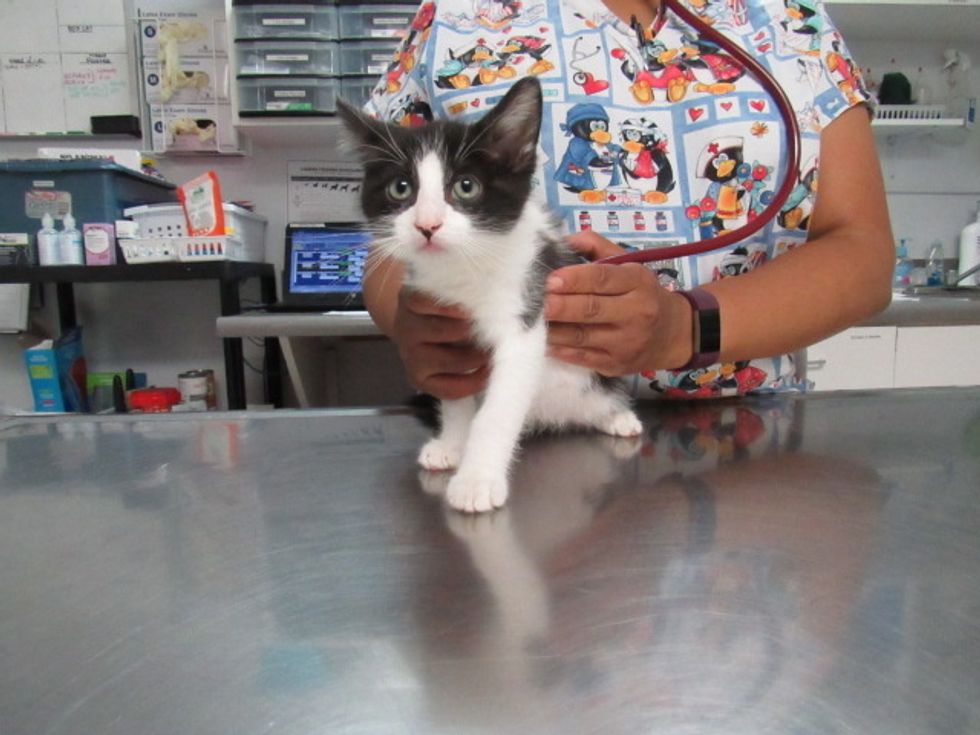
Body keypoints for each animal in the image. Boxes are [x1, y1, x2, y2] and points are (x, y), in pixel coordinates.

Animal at [338, 76, 642, 513]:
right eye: (401, 188)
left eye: (466, 187)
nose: (427, 225)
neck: (466, 270)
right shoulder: (442, 328)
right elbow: (455, 392)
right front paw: (453, 445)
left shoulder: (524, 313)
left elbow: (497, 409)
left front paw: (477, 480)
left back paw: (617, 416)